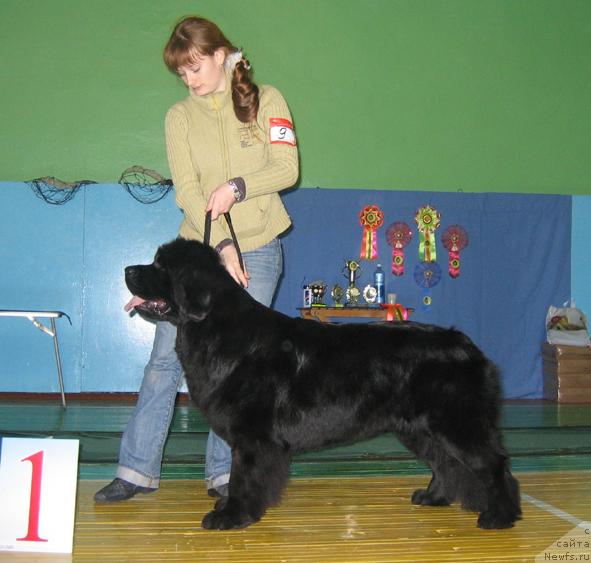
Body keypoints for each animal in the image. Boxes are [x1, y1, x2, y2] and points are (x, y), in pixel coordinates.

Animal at [126, 238, 524, 532]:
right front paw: (233, 509)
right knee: (445, 462)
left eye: (161, 267)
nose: (128, 269)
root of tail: (468, 346)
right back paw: (434, 497)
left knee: (493, 463)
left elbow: (243, 477)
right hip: (420, 428)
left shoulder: (253, 437)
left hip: (458, 423)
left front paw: (231, 516)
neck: (216, 329)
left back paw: (500, 516)